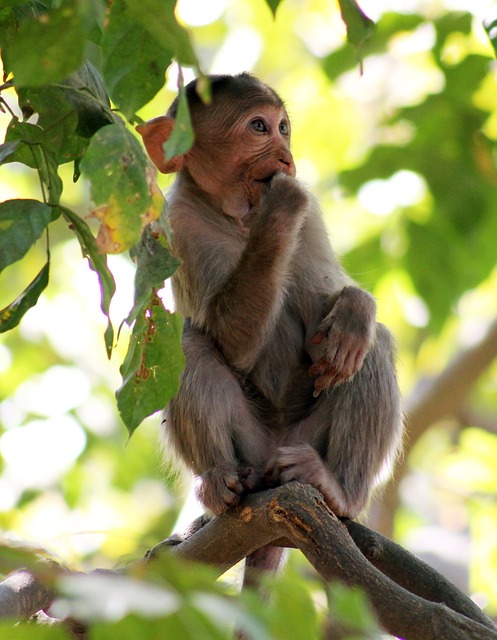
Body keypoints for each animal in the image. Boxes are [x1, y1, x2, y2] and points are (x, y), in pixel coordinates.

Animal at [137, 71, 404, 580]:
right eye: (258, 127)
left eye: (283, 127)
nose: (285, 154)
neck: (240, 219)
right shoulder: (174, 221)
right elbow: (231, 341)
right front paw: (281, 205)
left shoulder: (313, 215)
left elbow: (328, 305)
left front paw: (354, 310)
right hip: (252, 447)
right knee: (187, 342)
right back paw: (217, 484)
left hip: (305, 442)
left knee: (371, 349)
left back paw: (340, 490)